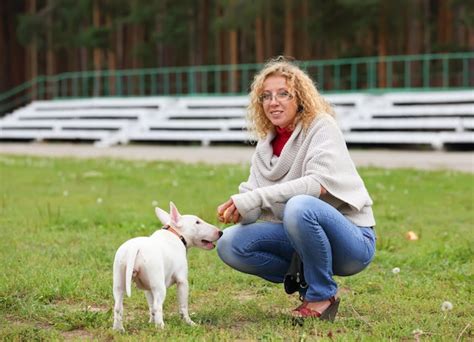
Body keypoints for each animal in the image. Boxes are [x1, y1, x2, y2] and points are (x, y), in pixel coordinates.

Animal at [112, 202, 222, 330]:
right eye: (197, 222)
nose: (220, 232)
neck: (176, 235)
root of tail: (135, 248)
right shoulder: (182, 281)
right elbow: (183, 306)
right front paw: (189, 323)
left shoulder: (148, 287)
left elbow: (150, 306)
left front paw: (150, 323)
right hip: (159, 285)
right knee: (157, 306)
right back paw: (161, 328)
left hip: (119, 279)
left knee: (118, 306)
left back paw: (118, 329)